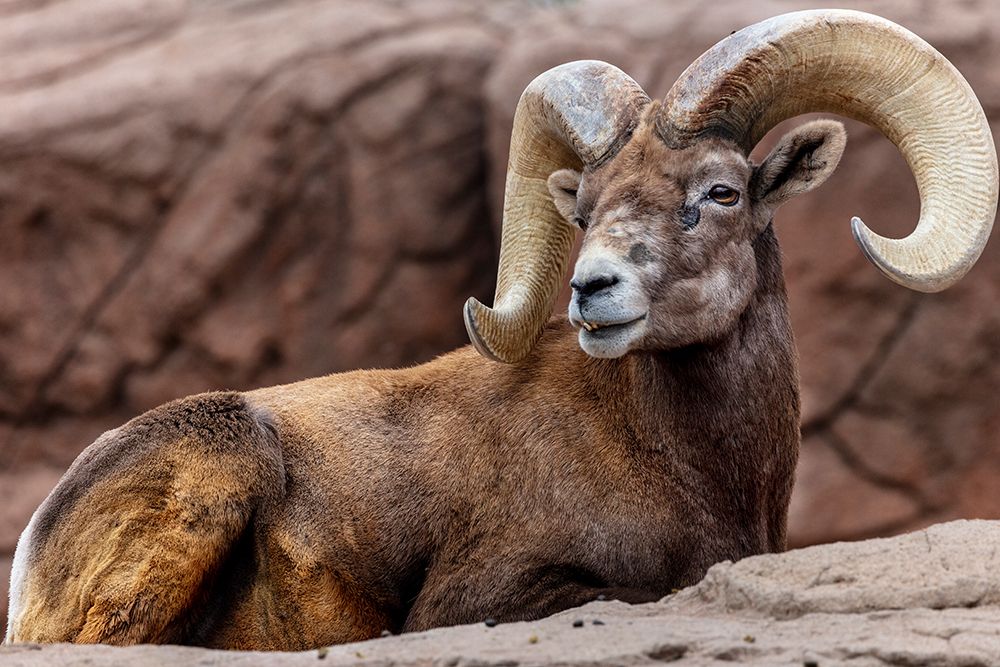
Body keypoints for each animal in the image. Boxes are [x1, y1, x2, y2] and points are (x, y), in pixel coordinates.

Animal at [5, 9, 997, 651]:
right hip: (227, 451)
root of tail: (35, 549)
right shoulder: (485, 597)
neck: (684, 460)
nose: (593, 288)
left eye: (719, 191)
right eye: (585, 207)